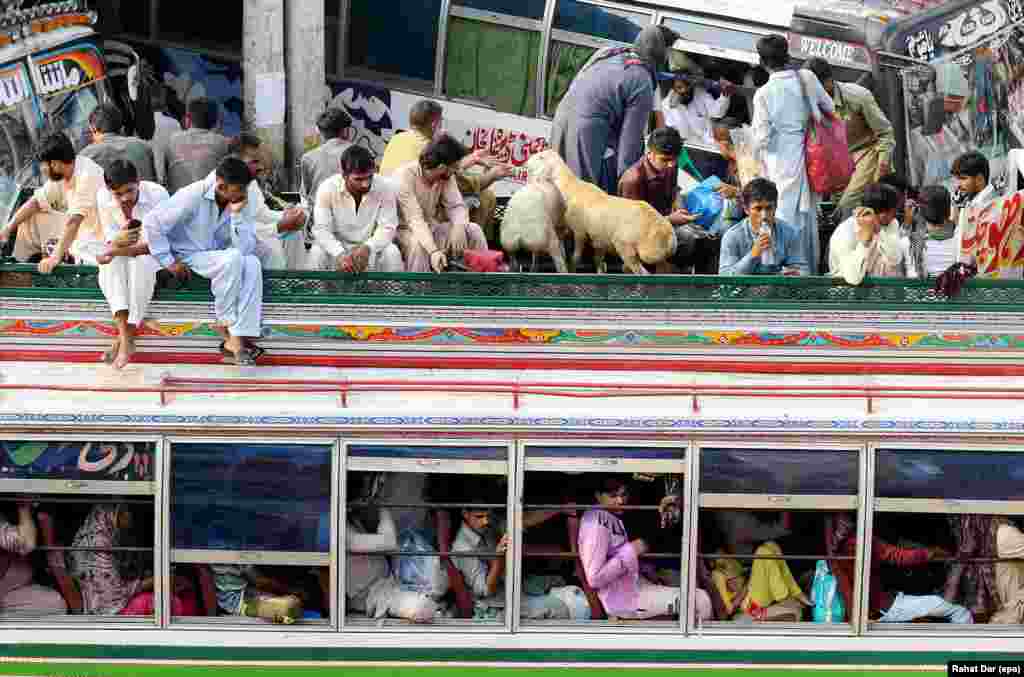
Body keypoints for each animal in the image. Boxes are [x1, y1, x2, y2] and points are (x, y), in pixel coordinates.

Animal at [528, 149, 679, 272]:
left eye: (540, 157)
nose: (526, 164)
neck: (568, 186)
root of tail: (670, 239)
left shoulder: (579, 232)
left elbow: (575, 259)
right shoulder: (598, 240)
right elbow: (597, 262)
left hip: (629, 248)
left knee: (642, 272)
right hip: (653, 257)